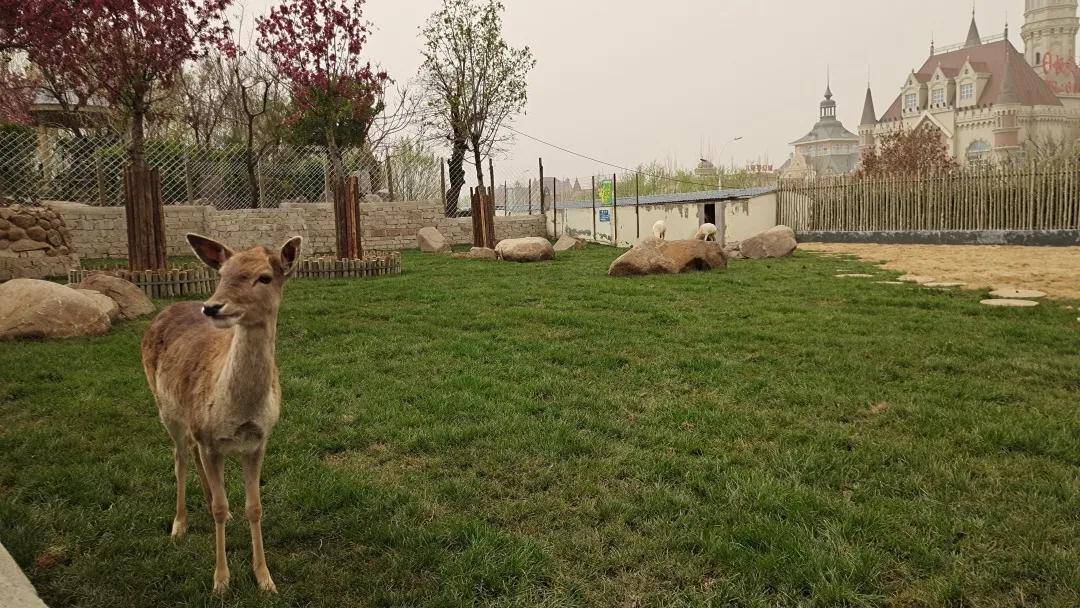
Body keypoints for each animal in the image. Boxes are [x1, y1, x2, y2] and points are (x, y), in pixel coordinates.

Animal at [139, 234, 302, 596]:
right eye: (222, 274)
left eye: (264, 277)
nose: (212, 307)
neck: (238, 412)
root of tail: (166, 308)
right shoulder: (209, 439)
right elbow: (218, 507)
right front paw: (221, 581)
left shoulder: (258, 440)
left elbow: (253, 507)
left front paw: (265, 578)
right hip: (166, 408)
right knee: (180, 457)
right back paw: (179, 525)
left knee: (194, 459)